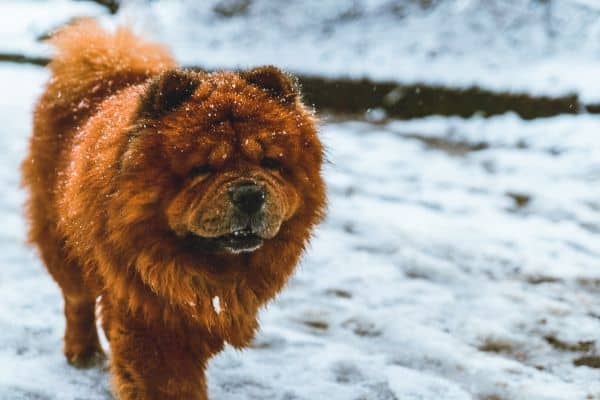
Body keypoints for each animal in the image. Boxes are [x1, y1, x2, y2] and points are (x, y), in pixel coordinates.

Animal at [22, 19, 324, 400]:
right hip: (60, 242)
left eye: (270, 163)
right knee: (76, 299)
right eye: (202, 169)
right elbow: (169, 382)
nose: (249, 193)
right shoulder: (149, 322)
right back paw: (83, 352)